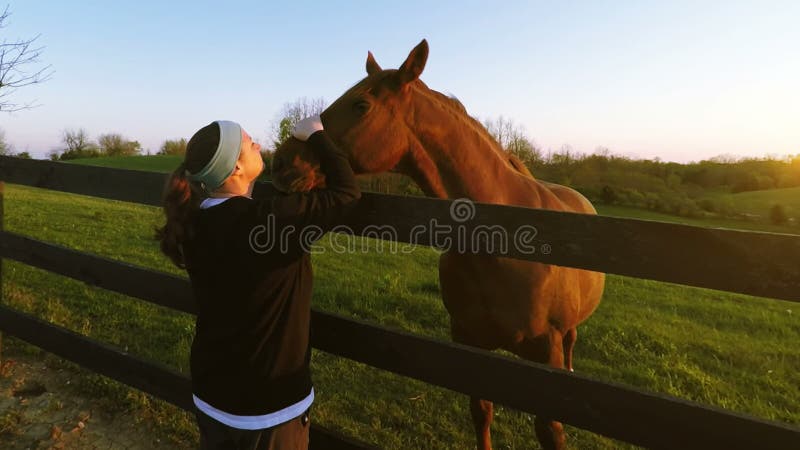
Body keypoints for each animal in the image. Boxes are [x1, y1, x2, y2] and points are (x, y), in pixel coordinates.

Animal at [276, 39, 608, 450]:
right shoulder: (468, 343)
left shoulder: (547, 353)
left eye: (360, 105)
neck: (502, 244)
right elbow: (481, 412)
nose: (280, 162)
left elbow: (551, 430)